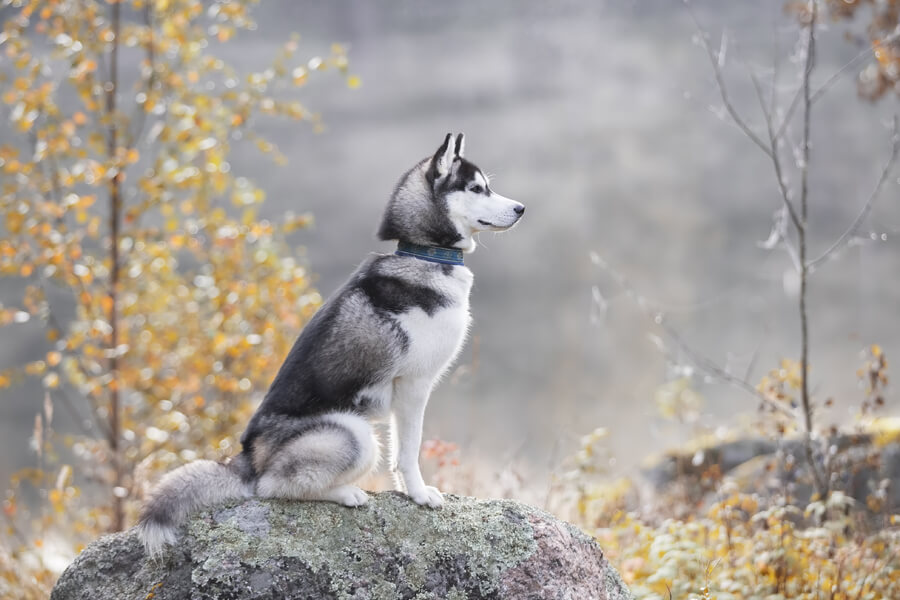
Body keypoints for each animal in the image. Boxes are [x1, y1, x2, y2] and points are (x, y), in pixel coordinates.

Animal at [137, 132, 524, 556]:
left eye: (487, 186)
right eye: (477, 188)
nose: (521, 208)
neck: (424, 254)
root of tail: (246, 458)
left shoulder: (403, 394)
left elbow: (399, 453)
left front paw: (408, 492)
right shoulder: (414, 385)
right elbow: (409, 451)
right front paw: (421, 495)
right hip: (353, 434)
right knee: (271, 487)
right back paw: (345, 493)